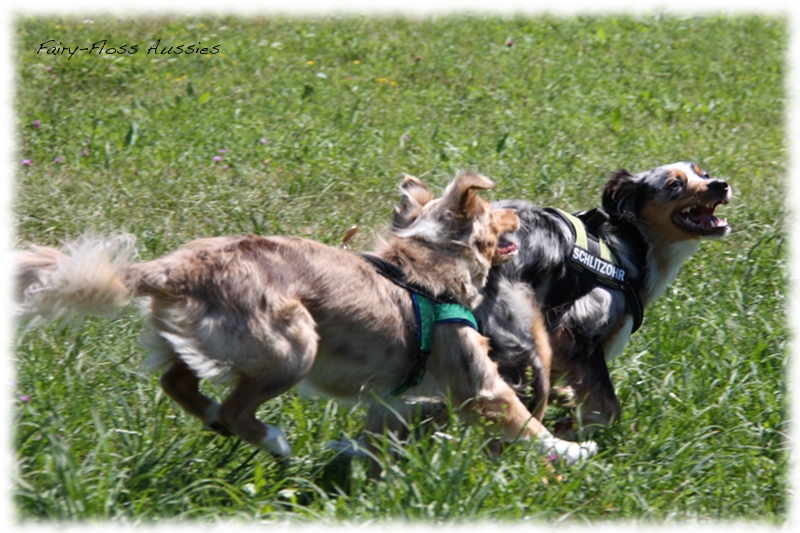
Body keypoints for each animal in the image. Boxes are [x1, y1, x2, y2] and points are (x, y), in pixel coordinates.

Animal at [15, 175, 596, 466]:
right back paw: (273, 441)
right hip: (293, 344)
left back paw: (222, 422)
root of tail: (173, 268)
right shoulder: (478, 383)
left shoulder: (397, 398)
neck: (429, 268)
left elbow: (378, 434)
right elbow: (526, 421)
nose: (517, 214)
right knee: (235, 406)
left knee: (178, 383)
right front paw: (576, 450)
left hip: (203, 341)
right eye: (496, 212)